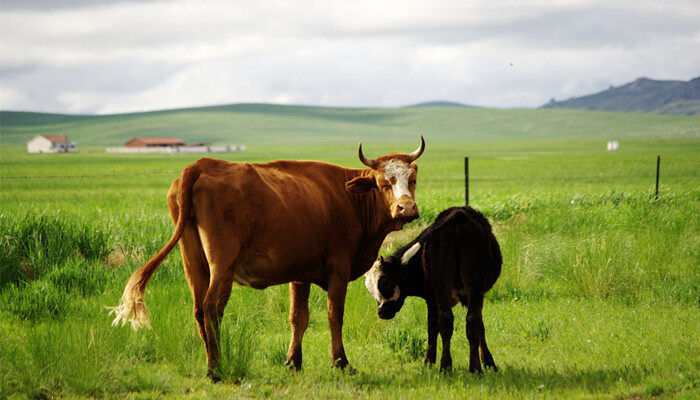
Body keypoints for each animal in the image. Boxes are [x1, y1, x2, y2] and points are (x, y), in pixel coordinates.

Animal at [110, 138, 426, 382]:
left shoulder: (301, 273)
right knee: (212, 307)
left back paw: (211, 362)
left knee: (199, 309)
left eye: (412, 180)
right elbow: (334, 315)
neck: (347, 198)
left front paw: (293, 362)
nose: (407, 208)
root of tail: (200, 165)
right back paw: (216, 368)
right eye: (383, 183)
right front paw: (341, 362)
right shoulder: (339, 269)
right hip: (222, 264)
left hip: (194, 264)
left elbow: (298, 317)